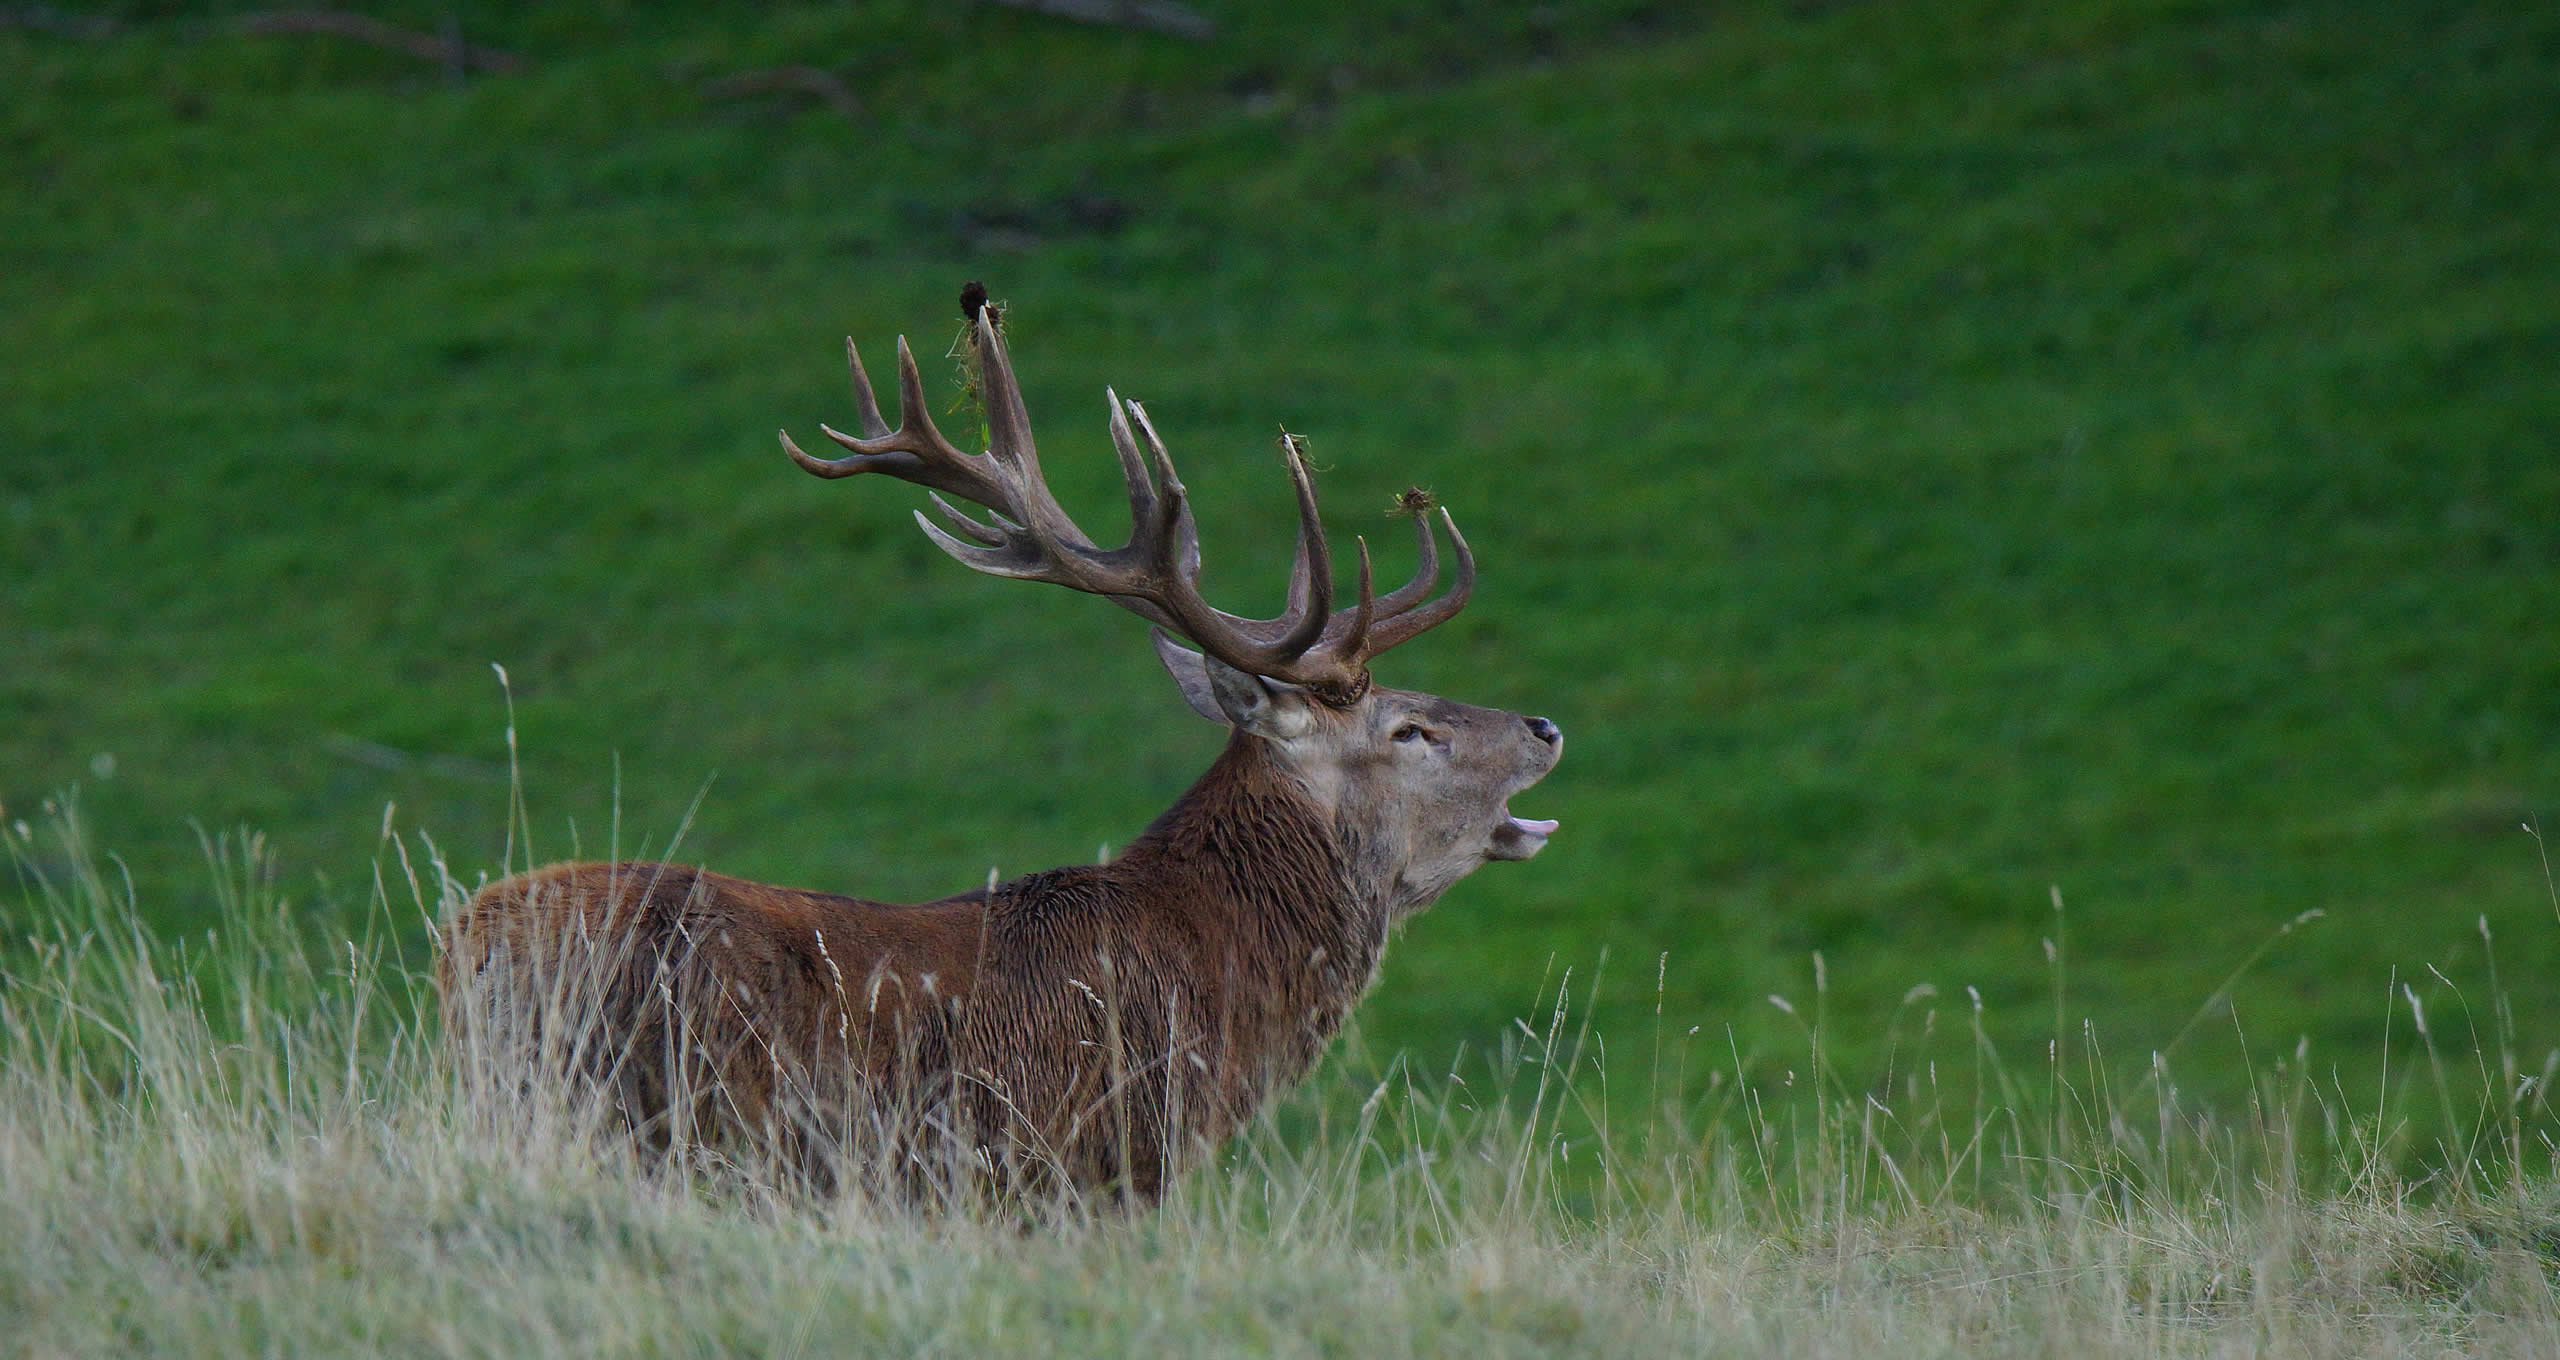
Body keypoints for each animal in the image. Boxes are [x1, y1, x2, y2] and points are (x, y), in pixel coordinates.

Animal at [437, 290, 1562, 1208]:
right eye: (1408, 729)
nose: (1545, 727)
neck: (1213, 990)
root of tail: (463, 956)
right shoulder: (1081, 1166)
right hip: (645, 1116)